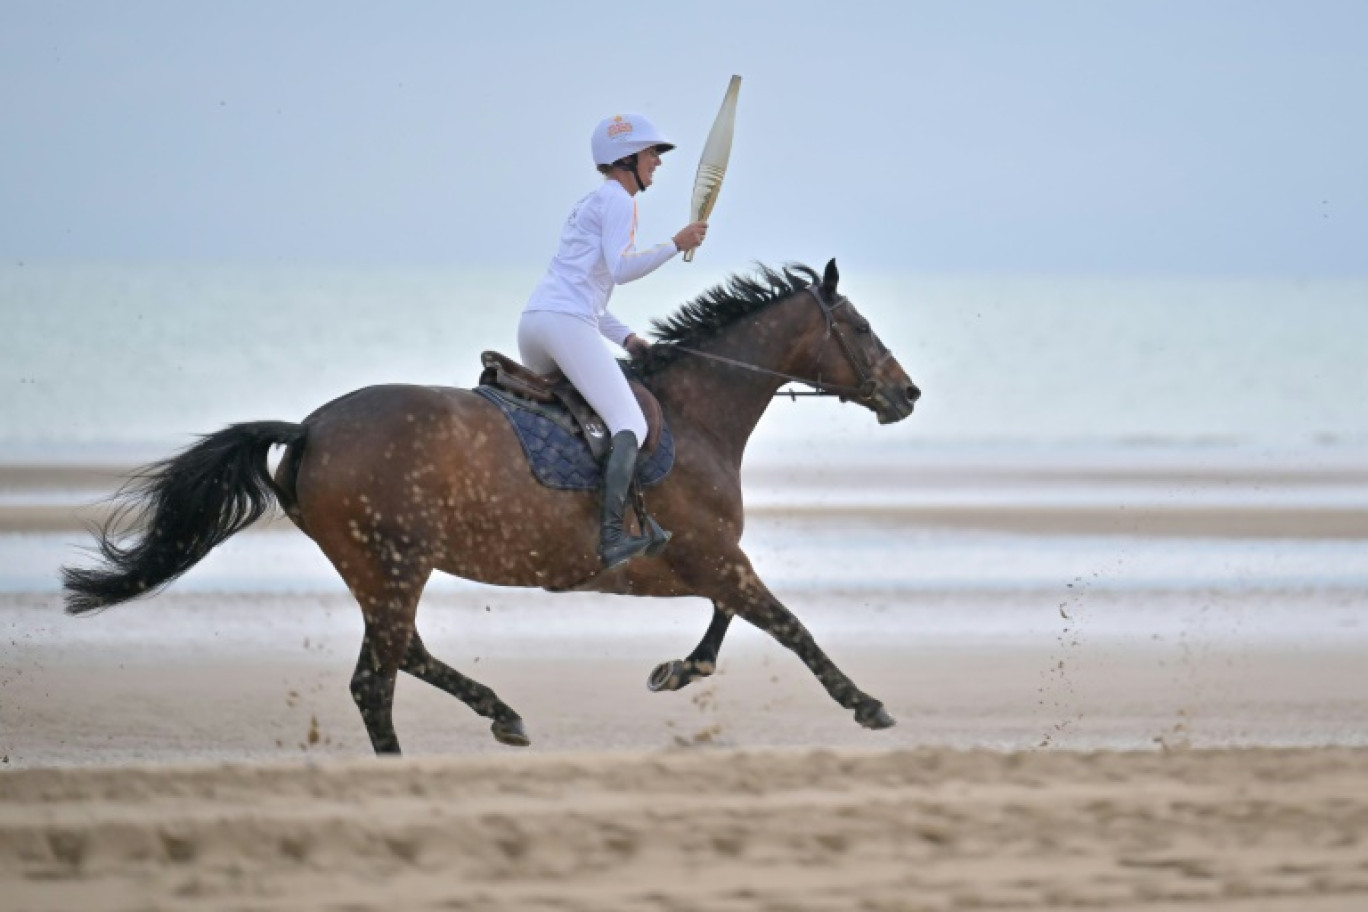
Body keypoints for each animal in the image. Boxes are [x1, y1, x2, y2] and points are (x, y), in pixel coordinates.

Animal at [61, 258, 919, 754]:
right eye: (861, 326)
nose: (907, 394)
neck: (697, 410)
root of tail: (308, 428)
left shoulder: (702, 563)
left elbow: (729, 619)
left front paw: (679, 670)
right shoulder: (711, 554)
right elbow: (786, 623)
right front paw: (868, 705)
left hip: (381, 568)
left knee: (401, 655)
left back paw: (501, 714)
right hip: (394, 563)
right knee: (376, 677)